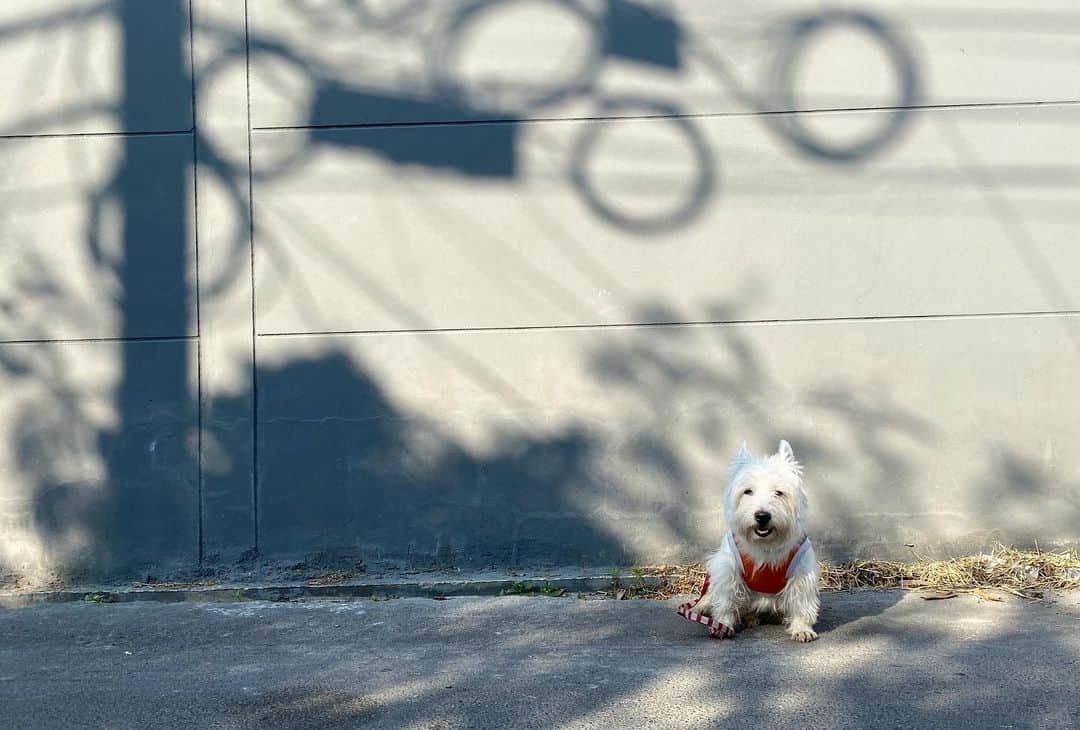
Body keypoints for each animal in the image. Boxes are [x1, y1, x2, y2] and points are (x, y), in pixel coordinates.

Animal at [682, 438, 816, 639]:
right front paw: (722, 625)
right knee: (711, 595)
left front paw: (802, 628)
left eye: (779, 492)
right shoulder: (728, 568)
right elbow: (726, 600)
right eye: (748, 491)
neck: (765, 545)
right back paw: (702, 607)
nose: (762, 516)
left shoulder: (802, 570)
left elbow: (801, 602)